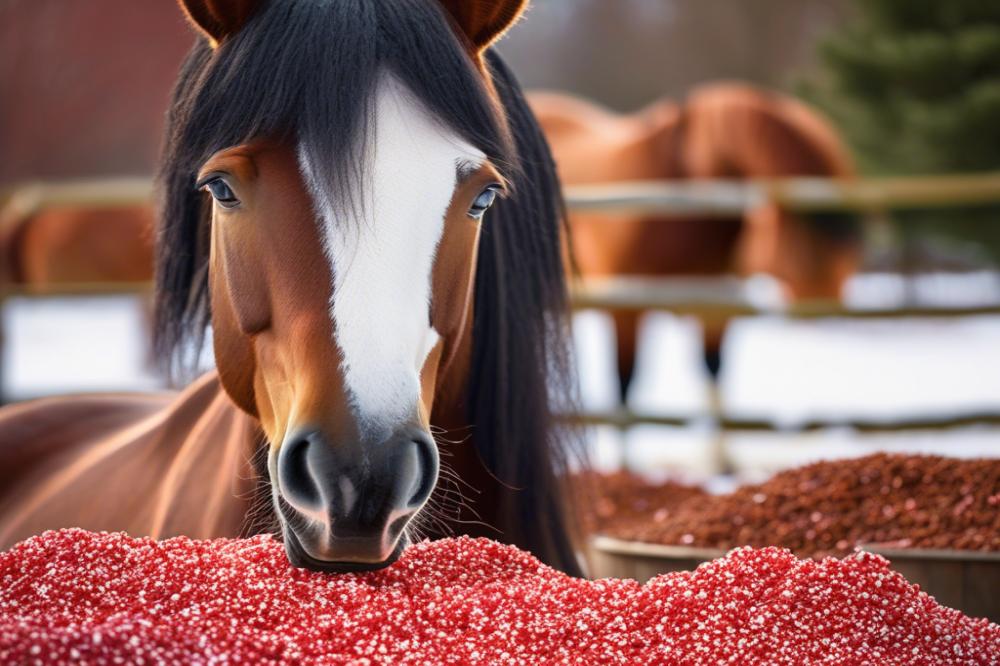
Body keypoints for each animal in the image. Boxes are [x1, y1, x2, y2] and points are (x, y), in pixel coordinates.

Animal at [532, 82, 860, 394]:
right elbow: (625, 386)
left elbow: (714, 373)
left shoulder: (715, 306)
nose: (829, 309)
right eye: (808, 237)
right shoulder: (626, 310)